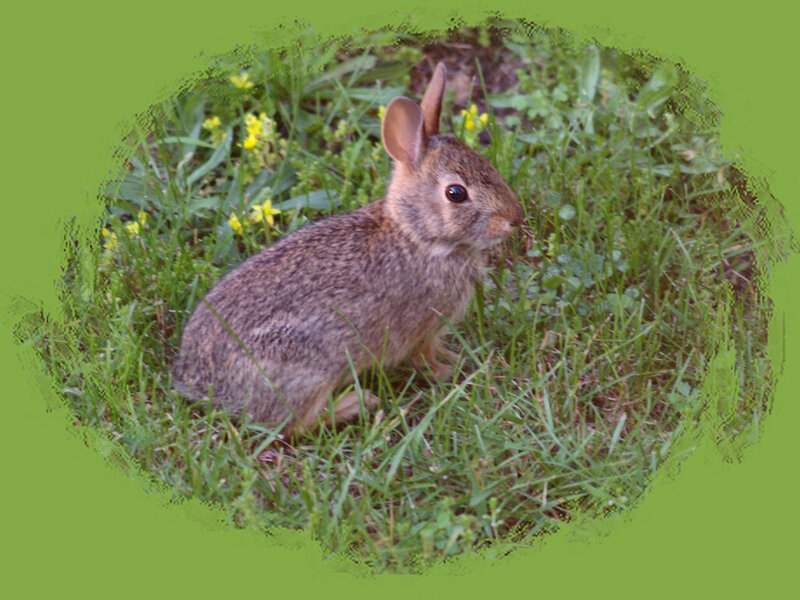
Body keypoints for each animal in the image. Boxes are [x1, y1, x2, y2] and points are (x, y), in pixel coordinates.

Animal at [171, 63, 524, 435]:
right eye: (456, 193)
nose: (515, 218)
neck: (417, 236)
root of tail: (200, 384)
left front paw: (460, 357)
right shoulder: (421, 330)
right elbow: (424, 358)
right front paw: (452, 371)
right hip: (310, 366)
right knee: (293, 425)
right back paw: (356, 403)